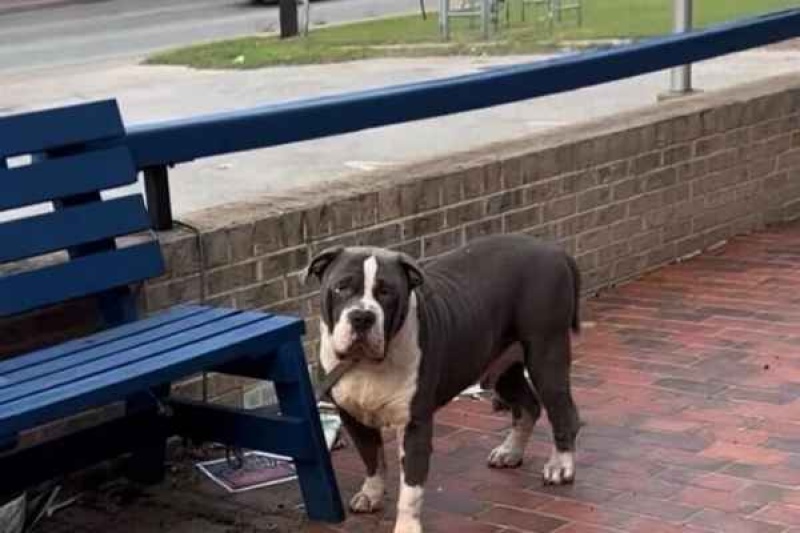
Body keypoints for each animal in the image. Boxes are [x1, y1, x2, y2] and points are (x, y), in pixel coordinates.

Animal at [306, 236, 580, 532]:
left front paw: (407, 527)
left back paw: (560, 465)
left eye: (387, 292)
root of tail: (554, 249)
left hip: (546, 355)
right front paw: (371, 494)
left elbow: (411, 489)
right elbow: (372, 459)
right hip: (502, 369)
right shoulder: (352, 416)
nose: (362, 316)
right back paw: (510, 451)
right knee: (528, 405)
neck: (367, 365)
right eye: (341, 287)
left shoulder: (415, 425)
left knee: (562, 412)